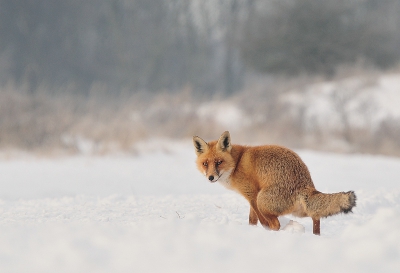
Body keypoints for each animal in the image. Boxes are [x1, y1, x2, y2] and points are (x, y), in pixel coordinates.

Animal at [194, 130, 356, 234]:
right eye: (205, 164)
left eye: (219, 162)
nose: (211, 177)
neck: (237, 163)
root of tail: (306, 184)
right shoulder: (251, 198)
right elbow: (252, 220)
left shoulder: (252, 195)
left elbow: (261, 220)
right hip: (300, 210)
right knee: (316, 216)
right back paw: (315, 236)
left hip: (262, 200)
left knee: (276, 224)